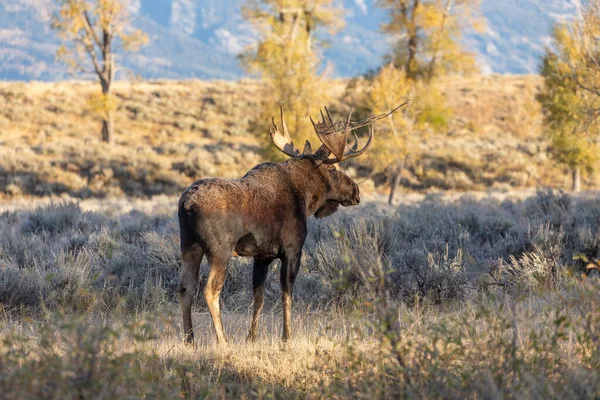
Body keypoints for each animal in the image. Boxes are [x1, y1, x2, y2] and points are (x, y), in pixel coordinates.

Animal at [176, 103, 406, 344]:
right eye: (333, 170)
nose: (356, 190)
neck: (305, 198)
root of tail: (187, 204)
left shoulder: (262, 257)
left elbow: (259, 298)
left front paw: (252, 337)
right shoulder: (292, 250)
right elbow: (287, 295)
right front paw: (287, 336)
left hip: (189, 245)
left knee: (185, 288)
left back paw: (189, 339)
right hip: (220, 250)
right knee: (210, 289)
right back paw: (222, 340)